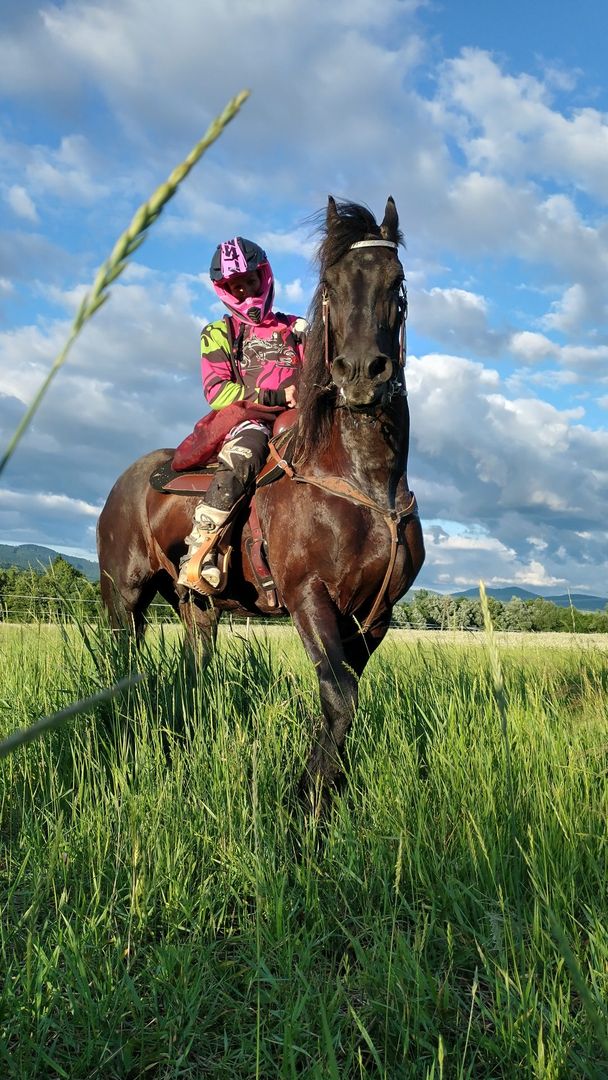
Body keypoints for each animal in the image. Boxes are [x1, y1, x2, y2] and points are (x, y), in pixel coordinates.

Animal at [98, 198, 423, 799]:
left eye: (397, 282)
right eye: (329, 285)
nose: (361, 373)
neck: (365, 483)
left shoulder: (376, 615)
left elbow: (343, 698)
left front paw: (328, 792)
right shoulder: (308, 597)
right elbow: (339, 698)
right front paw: (306, 802)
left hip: (196, 608)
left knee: (196, 669)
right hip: (123, 598)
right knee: (120, 663)